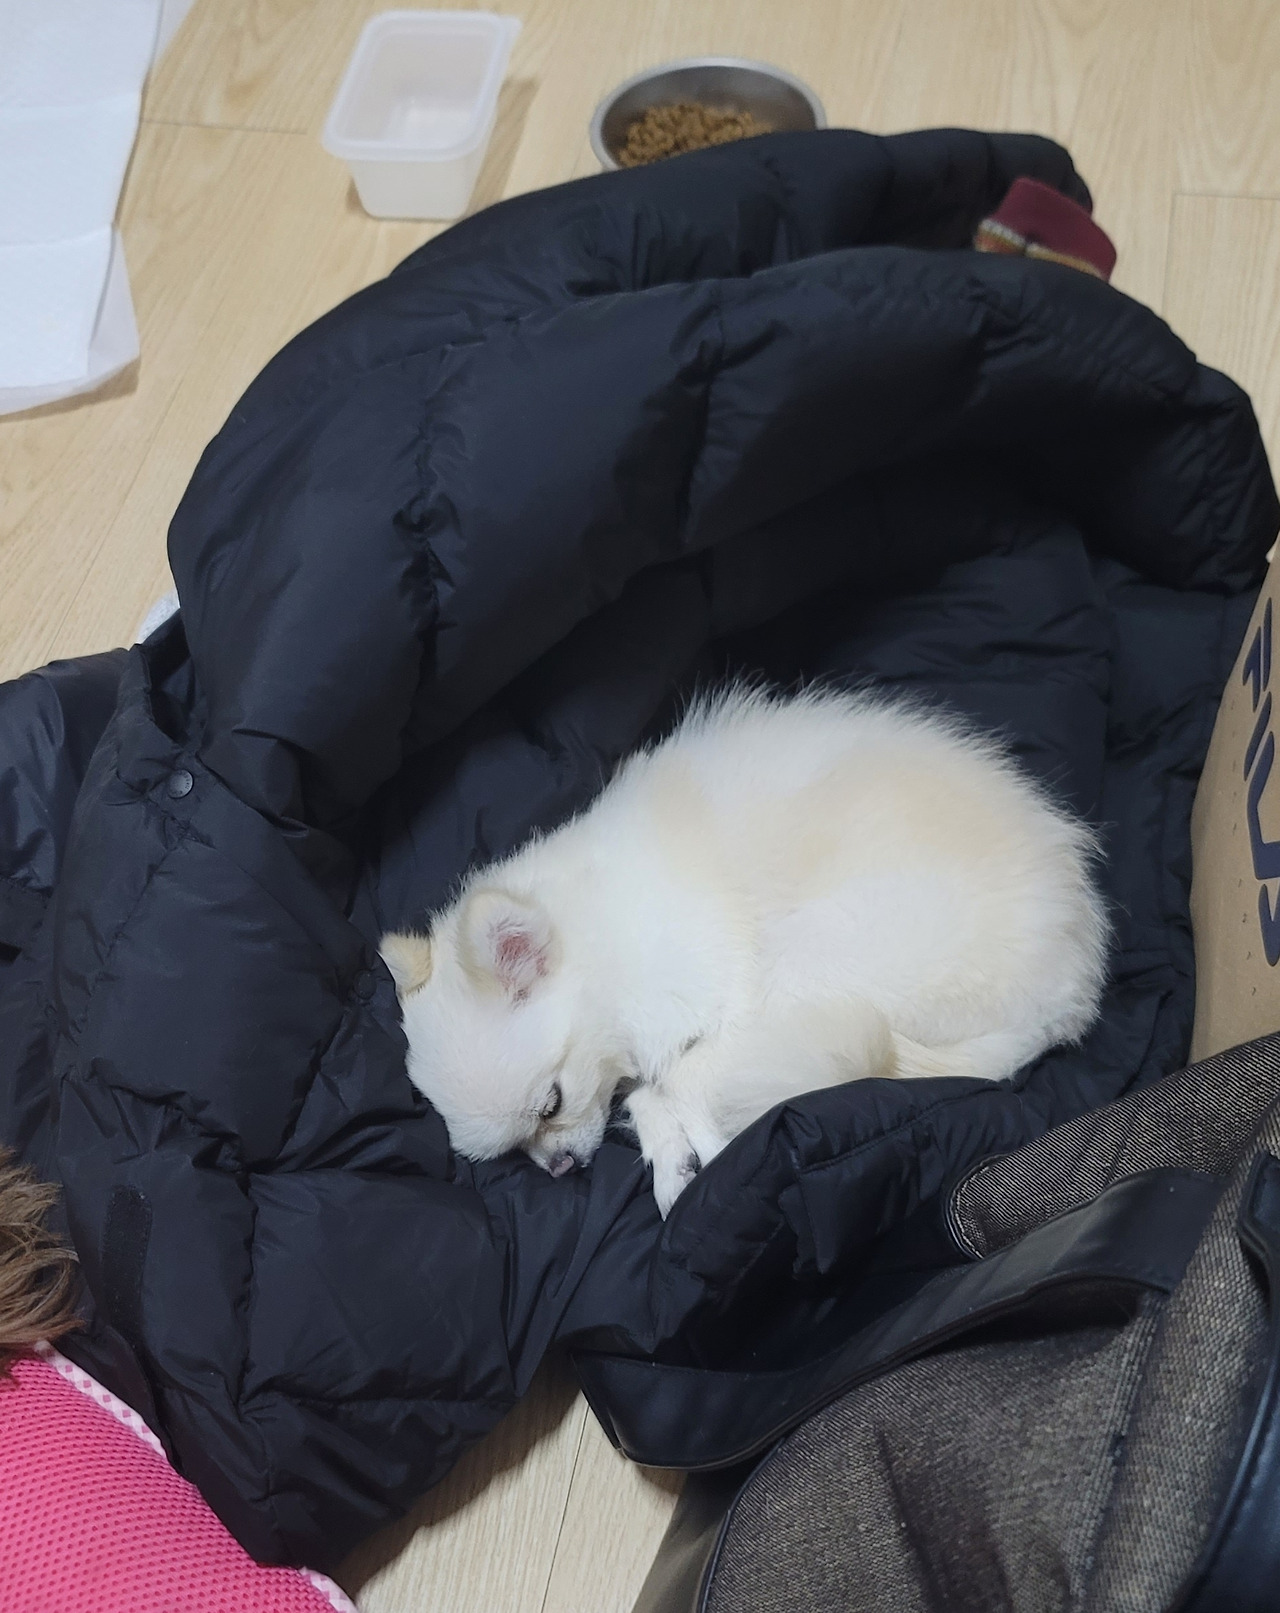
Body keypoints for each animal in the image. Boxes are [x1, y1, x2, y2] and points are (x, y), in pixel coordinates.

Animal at [381, 686, 1109, 1215]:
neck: (601, 943)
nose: (559, 1166)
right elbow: (644, 1094)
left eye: (550, 1105)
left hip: (819, 951)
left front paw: (696, 1144)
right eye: (516, 1149)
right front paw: (670, 1157)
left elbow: (675, 1078)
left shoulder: (720, 1000)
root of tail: (1069, 995)